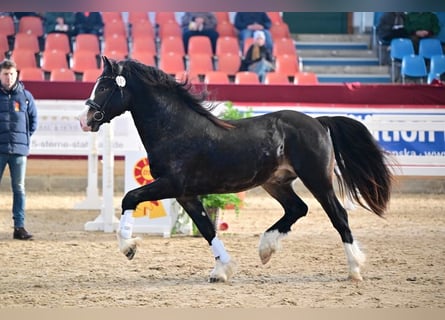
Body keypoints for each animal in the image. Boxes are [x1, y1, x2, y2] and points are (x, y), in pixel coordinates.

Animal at [80, 57, 392, 282]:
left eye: (105, 87)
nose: (86, 120)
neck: (175, 129)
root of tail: (318, 122)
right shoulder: (186, 194)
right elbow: (207, 228)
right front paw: (222, 270)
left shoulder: (172, 184)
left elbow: (129, 197)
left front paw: (129, 247)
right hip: (275, 182)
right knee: (297, 208)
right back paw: (266, 249)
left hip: (317, 179)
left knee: (338, 215)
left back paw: (354, 269)